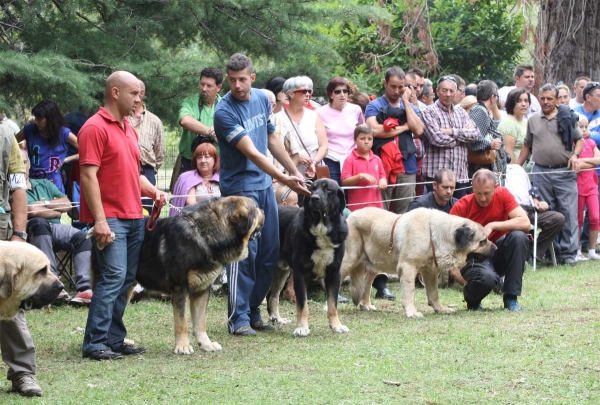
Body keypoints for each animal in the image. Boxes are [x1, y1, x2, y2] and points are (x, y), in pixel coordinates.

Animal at [134, 196, 262, 354]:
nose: (263, 211)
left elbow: (200, 321)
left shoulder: (202, 289)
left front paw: (206, 344)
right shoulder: (180, 288)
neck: (205, 234)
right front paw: (183, 346)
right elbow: (181, 321)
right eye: (255, 208)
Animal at [268, 178, 350, 336]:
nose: (314, 198)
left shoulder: (334, 273)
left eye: (328, 189)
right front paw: (302, 327)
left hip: (282, 270)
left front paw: (336, 325)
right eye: (312, 189)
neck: (322, 226)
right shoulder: (301, 273)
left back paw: (277, 319)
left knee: (273, 295)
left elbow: (332, 303)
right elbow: (302, 304)